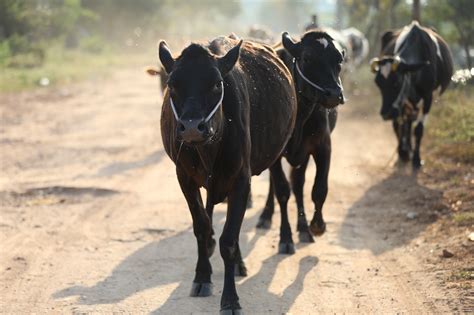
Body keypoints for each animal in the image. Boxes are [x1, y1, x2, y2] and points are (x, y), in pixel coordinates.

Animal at [157, 37, 296, 315]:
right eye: (172, 84)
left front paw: (230, 299)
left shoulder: (241, 180)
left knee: (282, 192)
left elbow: (229, 240)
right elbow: (202, 227)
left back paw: (283, 241)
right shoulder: (184, 178)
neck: (208, 149)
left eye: (216, 83)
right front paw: (202, 277)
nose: (192, 127)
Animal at [258, 30, 346, 252]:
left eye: (339, 61)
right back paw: (266, 215)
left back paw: (303, 226)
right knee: (276, 185)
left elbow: (319, 189)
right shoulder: (275, 153)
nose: (334, 94)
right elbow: (282, 190)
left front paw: (316, 226)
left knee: (298, 184)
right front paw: (285, 237)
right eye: (307, 58)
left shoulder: (322, 147)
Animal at [370, 21, 452, 169]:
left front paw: (416, 159)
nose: (385, 114)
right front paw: (402, 153)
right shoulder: (401, 102)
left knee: (410, 122)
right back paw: (405, 150)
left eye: (396, 82)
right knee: (405, 123)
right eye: (378, 83)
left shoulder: (427, 96)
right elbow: (399, 126)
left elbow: (418, 129)